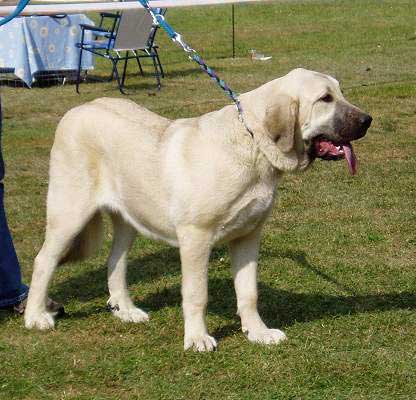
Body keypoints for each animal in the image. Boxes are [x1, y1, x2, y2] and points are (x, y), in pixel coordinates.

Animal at [24, 70, 372, 352]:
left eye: (340, 92)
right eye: (325, 99)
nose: (367, 120)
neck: (252, 145)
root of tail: (77, 109)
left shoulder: (248, 236)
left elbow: (249, 292)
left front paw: (257, 332)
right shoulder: (196, 238)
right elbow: (196, 294)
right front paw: (197, 338)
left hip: (129, 218)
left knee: (115, 262)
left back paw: (126, 310)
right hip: (69, 213)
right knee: (43, 261)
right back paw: (35, 316)